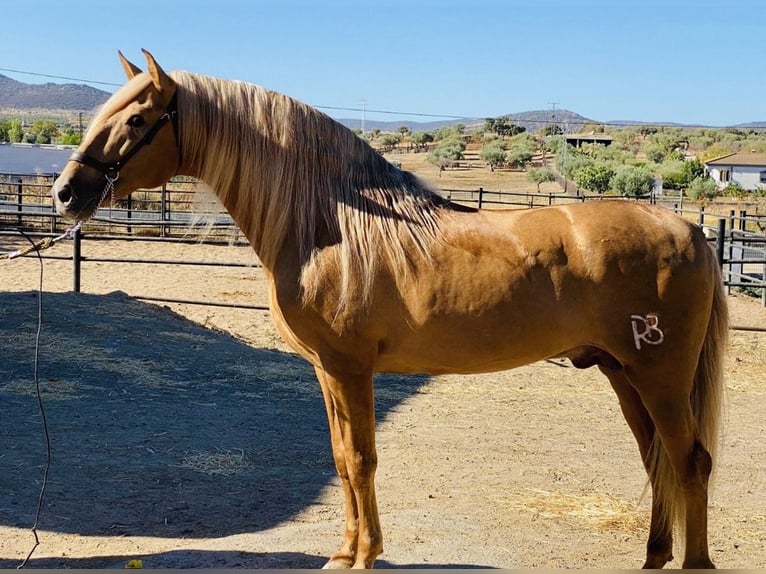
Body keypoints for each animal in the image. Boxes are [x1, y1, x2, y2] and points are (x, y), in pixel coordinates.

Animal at [52, 50, 728, 572]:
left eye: (137, 117)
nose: (65, 193)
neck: (330, 226)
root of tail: (690, 231)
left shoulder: (351, 369)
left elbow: (361, 460)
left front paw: (364, 556)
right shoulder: (326, 371)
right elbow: (340, 460)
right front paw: (343, 553)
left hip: (661, 377)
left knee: (690, 461)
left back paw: (693, 562)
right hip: (623, 374)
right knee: (659, 461)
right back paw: (653, 557)